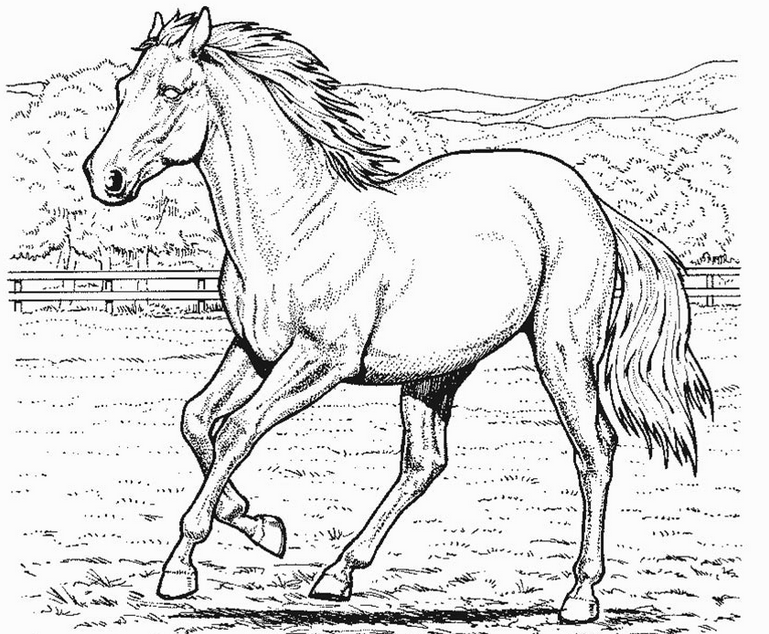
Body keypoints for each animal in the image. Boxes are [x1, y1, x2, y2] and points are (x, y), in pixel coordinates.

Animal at [83, 8, 712, 624]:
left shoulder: (320, 361)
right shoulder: (254, 351)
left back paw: (580, 595)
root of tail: (591, 200)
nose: (102, 177)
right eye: (122, 88)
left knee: (594, 450)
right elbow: (196, 420)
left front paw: (181, 568)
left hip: (562, 351)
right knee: (425, 462)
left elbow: (237, 429)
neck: (295, 227)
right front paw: (261, 526)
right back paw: (337, 575)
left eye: (170, 89)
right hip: (435, 373)